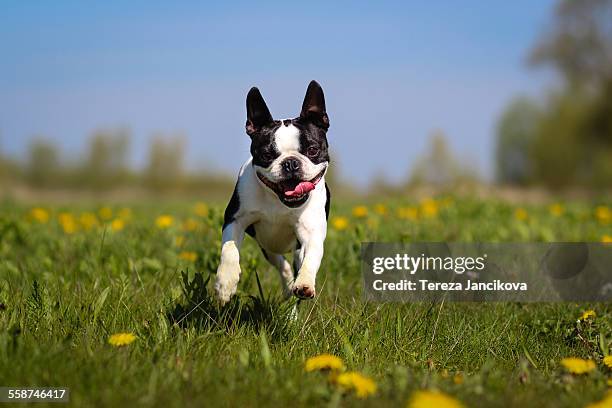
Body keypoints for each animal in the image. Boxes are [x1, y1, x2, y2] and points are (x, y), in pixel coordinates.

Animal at [214, 79, 330, 304]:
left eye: (312, 150)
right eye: (267, 154)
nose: (291, 163)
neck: (278, 200)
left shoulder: (311, 231)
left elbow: (312, 256)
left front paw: (305, 283)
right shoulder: (235, 219)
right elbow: (229, 249)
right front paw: (226, 283)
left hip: (292, 248)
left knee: (295, 263)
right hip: (266, 247)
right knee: (282, 265)